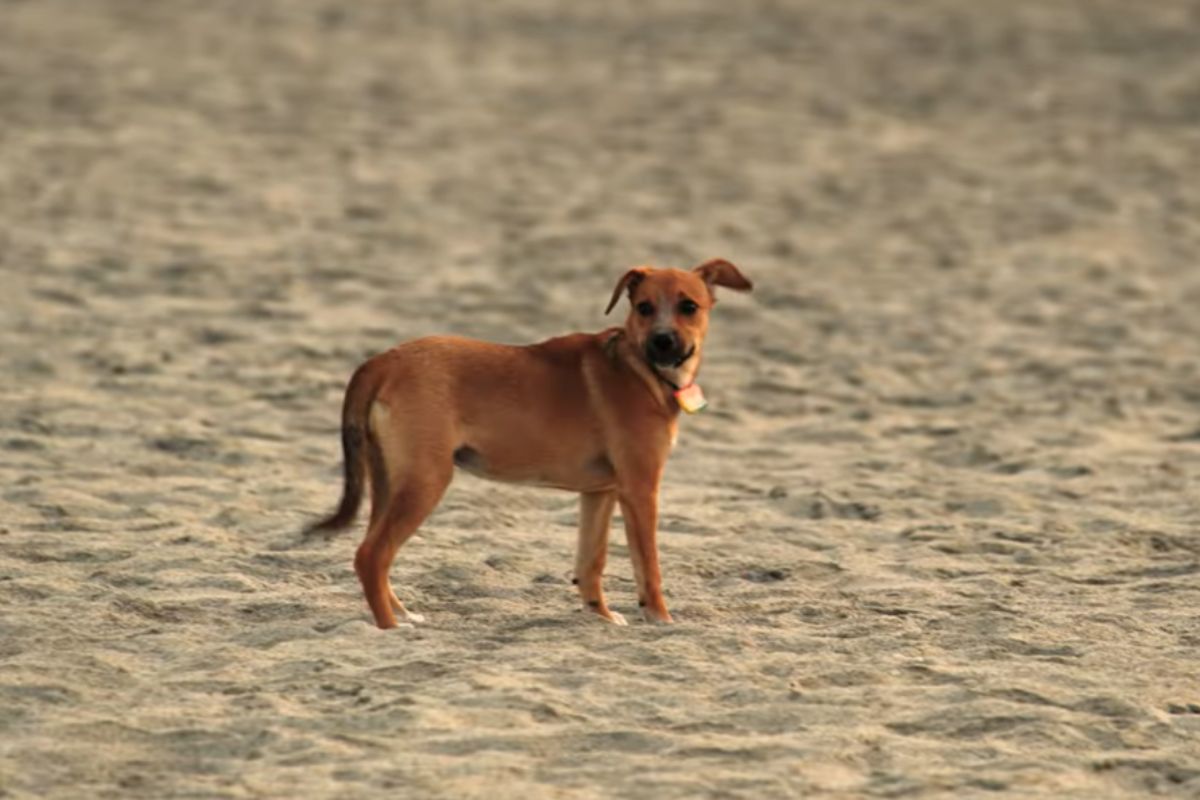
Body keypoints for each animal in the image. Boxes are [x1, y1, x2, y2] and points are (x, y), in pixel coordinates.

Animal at [309, 260, 753, 628]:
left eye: (689, 306)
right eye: (644, 307)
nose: (663, 341)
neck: (639, 369)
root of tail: (382, 361)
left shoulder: (601, 492)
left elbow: (591, 563)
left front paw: (602, 618)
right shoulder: (641, 489)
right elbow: (649, 566)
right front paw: (661, 618)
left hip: (391, 479)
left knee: (376, 554)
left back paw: (403, 614)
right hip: (425, 480)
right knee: (371, 556)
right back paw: (391, 628)